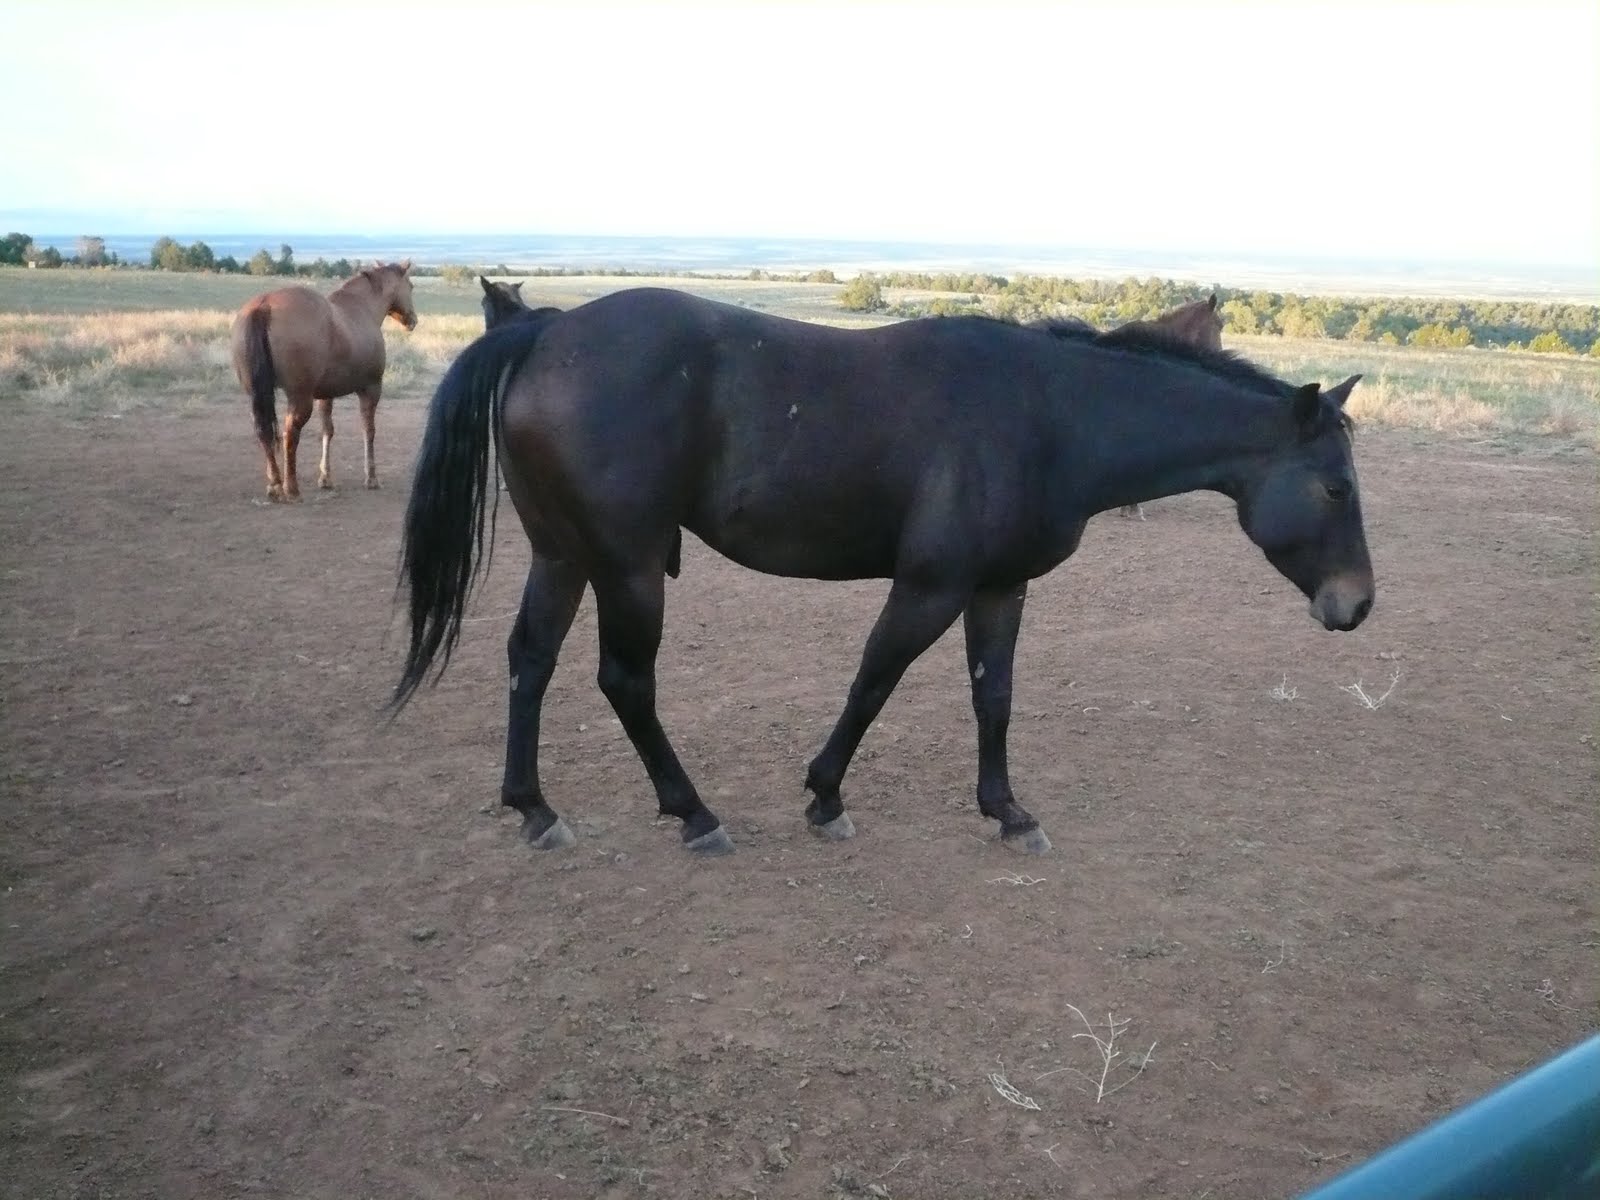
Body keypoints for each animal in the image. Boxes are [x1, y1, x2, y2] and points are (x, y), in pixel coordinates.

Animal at [231, 260, 419, 501]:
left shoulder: (325, 395)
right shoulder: (371, 389)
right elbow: (368, 430)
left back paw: (274, 483)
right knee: (290, 434)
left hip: (258, 395)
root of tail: (264, 306)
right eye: (411, 286)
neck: (362, 309)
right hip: (300, 398)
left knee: (263, 432)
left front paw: (325, 478)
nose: (413, 320)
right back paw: (291, 488)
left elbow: (327, 431)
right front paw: (371, 478)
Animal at [389, 286, 1373, 859]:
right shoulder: (930, 587)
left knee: (530, 663)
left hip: (564, 557)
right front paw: (826, 796)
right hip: (629, 568)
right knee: (624, 680)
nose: (1357, 605)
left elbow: (993, 696)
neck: (1047, 413)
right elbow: (874, 681)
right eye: (1334, 485)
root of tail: (545, 330)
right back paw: (694, 813)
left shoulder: (997, 588)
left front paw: (1007, 811)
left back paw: (534, 808)